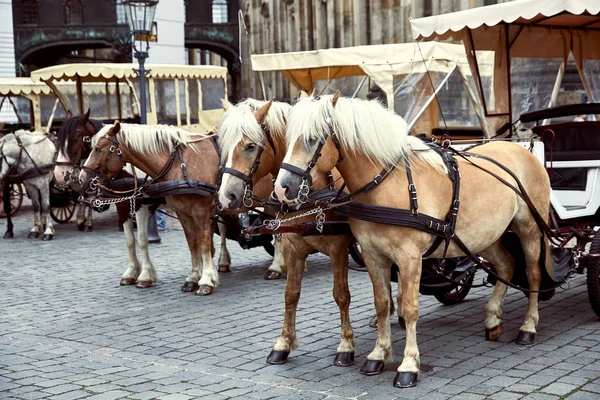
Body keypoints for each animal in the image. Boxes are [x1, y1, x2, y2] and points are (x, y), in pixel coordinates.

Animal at [218, 97, 356, 366]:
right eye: (224, 146)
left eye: (250, 146)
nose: (225, 197)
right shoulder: (294, 248)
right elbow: (291, 294)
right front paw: (283, 343)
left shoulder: (338, 249)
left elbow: (341, 294)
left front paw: (346, 345)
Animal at [274, 93, 552, 388]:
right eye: (288, 138)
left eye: (313, 138)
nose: (281, 189)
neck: (387, 186)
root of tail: (522, 150)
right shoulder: (373, 257)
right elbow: (382, 303)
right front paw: (379, 353)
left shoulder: (409, 258)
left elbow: (409, 308)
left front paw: (408, 365)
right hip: (485, 235)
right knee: (507, 265)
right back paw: (492, 318)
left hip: (529, 228)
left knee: (533, 274)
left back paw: (528, 327)